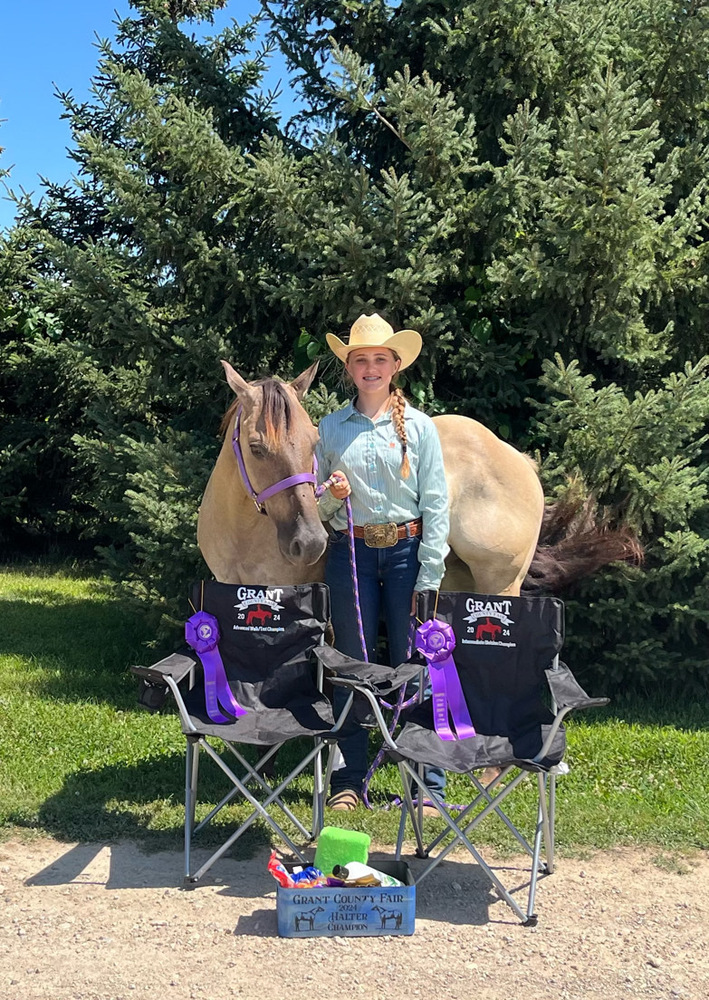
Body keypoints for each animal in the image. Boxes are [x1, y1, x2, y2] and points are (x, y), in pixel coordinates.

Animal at [198, 362, 640, 595]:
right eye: (256, 447)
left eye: (311, 441)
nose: (309, 544)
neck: (243, 535)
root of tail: (520, 462)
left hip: (500, 585)